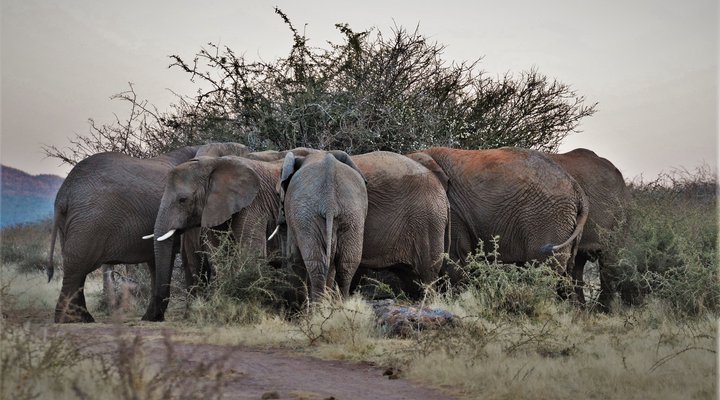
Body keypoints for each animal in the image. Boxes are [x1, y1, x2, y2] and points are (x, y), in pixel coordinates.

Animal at [48, 145, 200, 323]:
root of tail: (63, 194)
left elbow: (156, 262)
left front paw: (151, 318)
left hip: (73, 222)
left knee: (77, 268)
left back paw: (82, 318)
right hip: (89, 221)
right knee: (77, 266)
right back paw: (70, 320)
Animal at [143, 156, 285, 321]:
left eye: (182, 200)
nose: (154, 317)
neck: (214, 164)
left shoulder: (253, 205)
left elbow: (251, 254)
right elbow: (219, 256)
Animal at [278, 151, 368, 302]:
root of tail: (329, 201)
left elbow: (293, 256)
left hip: (306, 216)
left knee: (316, 262)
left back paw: (318, 307)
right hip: (353, 214)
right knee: (346, 264)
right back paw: (341, 305)